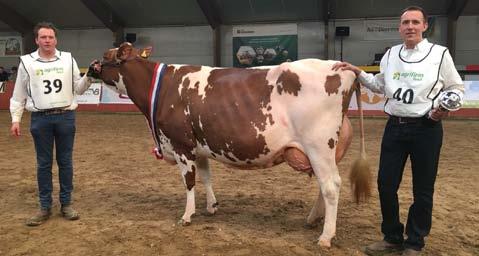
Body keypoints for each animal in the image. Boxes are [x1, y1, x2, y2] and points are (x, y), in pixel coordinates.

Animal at [95, 43, 370, 247]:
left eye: (105, 56)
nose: (90, 69)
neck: (161, 88)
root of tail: (343, 69)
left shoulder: (181, 144)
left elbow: (189, 182)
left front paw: (187, 216)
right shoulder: (199, 146)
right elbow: (206, 176)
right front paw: (211, 207)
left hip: (318, 146)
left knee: (331, 186)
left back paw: (325, 236)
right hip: (323, 152)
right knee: (324, 186)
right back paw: (314, 219)